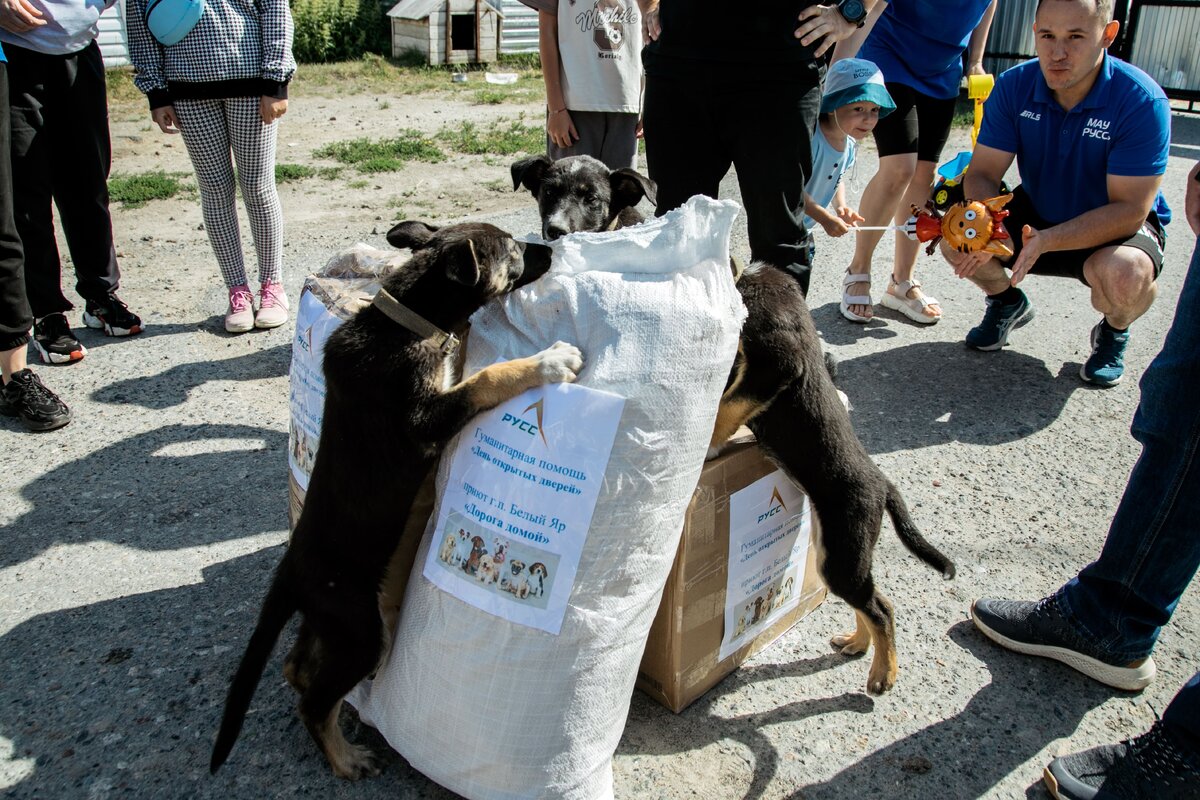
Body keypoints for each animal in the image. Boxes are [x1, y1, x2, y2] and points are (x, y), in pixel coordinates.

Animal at [208, 220, 583, 782]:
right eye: (514, 253)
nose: (550, 249)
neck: (408, 320)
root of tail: (291, 571)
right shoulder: (427, 422)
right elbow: (489, 377)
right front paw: (548, 360)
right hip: (362, 630)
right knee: (314, 703)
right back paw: (345, 758)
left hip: (335, 623)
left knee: (297, 667)